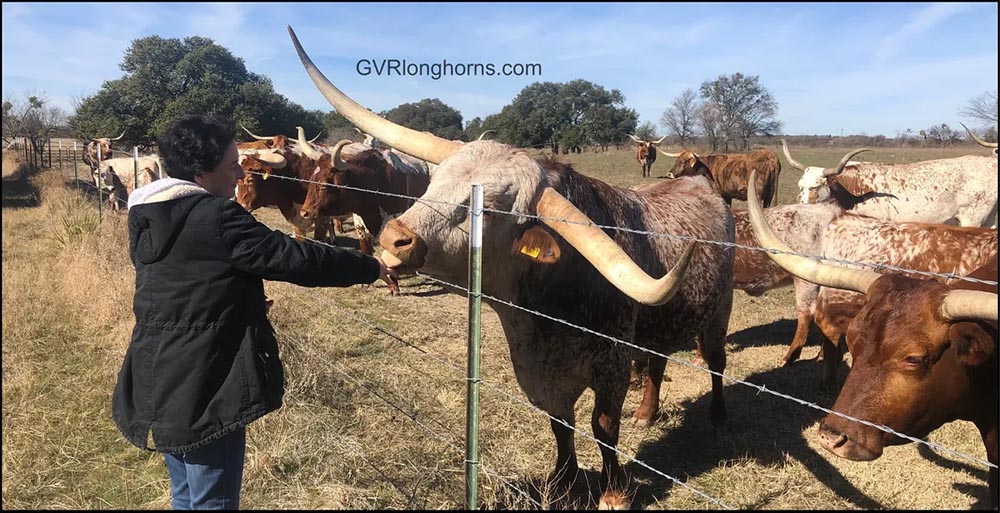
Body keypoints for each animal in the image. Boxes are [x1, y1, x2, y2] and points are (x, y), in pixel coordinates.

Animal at [290, 25, 736, 508]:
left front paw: (614, 492)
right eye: (436, 179)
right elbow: (561, 426)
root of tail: (701, 184)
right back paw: (648, 412)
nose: (395, 238)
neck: (547, 307)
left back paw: (717, 419)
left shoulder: (612, 367)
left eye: (489, 209)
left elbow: (603, 428)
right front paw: (562, 482)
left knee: (716, 363)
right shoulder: (542, 375)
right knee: (656, 362)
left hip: (719, 314)